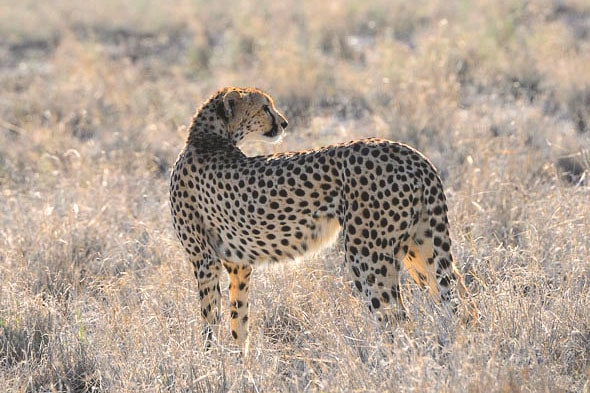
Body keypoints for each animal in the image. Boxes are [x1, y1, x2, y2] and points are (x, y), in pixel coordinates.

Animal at [170, 87, 472, 354]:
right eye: (265, 107)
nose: (284, 123)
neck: (207, 136)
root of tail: (410, 152)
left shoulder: (205, 260)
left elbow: (210, 319)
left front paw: (210, 364)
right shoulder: (237, 264)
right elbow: (238, 321)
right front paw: (240, 365)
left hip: (367, 255)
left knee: (396, 317)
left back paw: (391, 364)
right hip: (421, 246)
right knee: (458, 295)